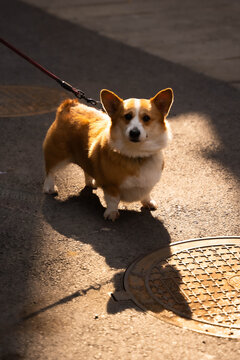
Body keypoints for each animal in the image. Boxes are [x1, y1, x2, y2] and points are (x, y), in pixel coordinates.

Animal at [43, 88, 173, 221]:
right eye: (127, 116)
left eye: (146, 118)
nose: (134, 132)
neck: (136, 155)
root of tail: (70, 105)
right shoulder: (110, 185)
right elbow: (113, 200)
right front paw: (111, 213)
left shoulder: (148, 182)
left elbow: (146, 193)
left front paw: (148, 202)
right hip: (58, 155)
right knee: (50, 171)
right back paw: (49, 188)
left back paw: (91, 182)